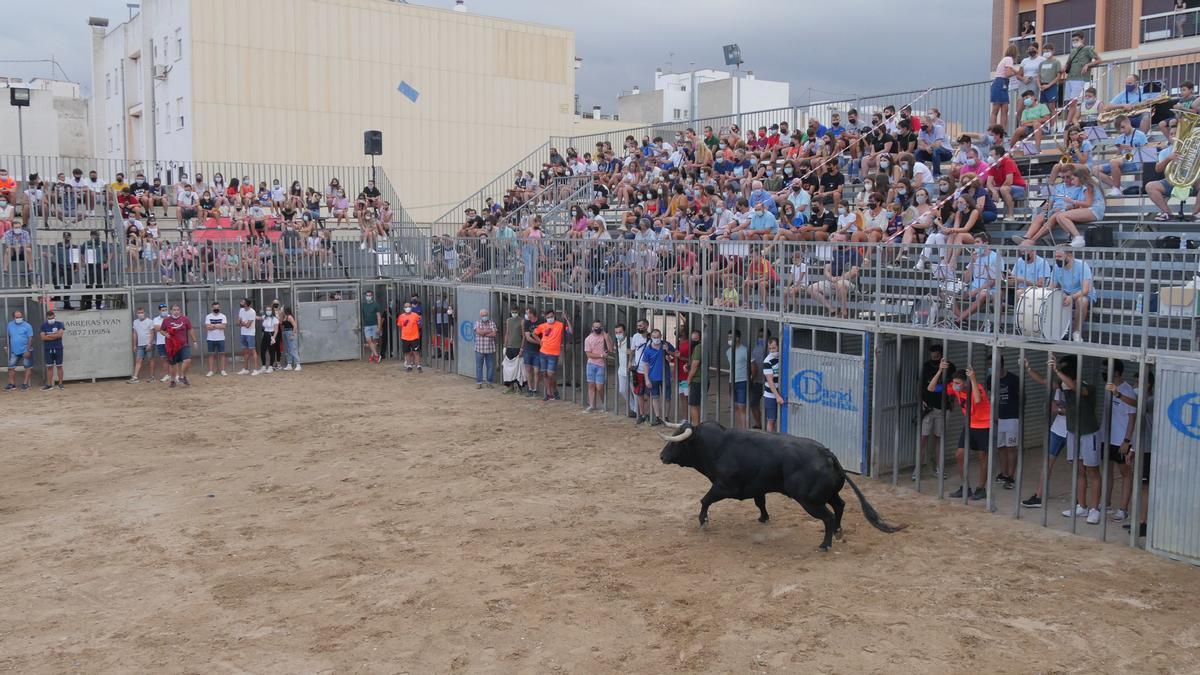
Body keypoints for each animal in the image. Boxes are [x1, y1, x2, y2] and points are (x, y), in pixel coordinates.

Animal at [662, 420, 902, 547]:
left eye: (676, 443)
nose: (662, 456)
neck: (717, 445)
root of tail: (827, 454)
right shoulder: (757, 487)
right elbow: (760, 502)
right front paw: (764, 518)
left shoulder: (725, 487)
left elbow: (705, 500)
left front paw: (703, 521)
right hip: (826, 494)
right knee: (840, 506)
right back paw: (838, 532)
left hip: (810, 501)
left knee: (828, 516)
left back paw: (824, 545)